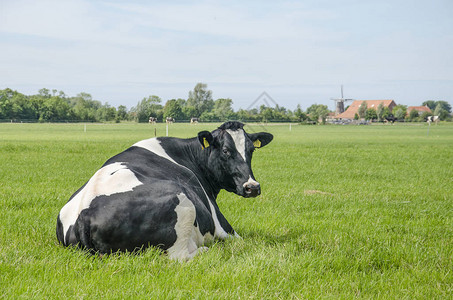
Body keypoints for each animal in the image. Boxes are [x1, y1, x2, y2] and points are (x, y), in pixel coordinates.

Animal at [58, 121, 274, 260]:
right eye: (226, 150)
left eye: (251, 150)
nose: (252, 187)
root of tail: (84, 214)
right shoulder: (221, 224)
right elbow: (240, 240)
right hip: (183, 205)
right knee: (180, 257)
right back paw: (206, 252)